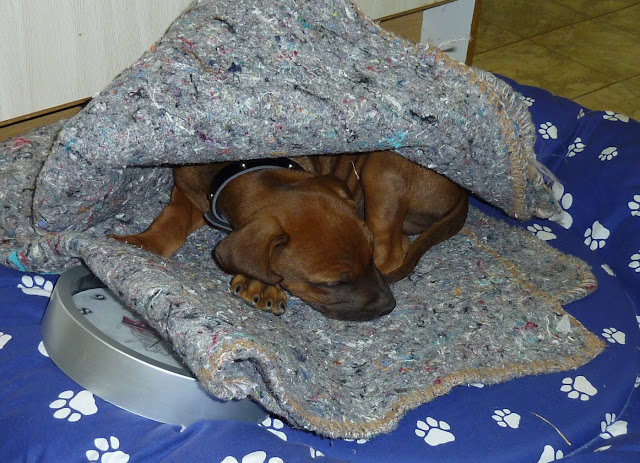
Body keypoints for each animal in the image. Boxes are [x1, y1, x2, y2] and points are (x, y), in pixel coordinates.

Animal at [113, 151, 468, 321]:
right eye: (330, 284)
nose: (389, 306)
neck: (245, 167)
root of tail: (463, 190)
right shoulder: (187, 193)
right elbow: (170, 222)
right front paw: (139, 244)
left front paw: (261, 283)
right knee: (400, 243)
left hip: (382, 168)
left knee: (392, 249)